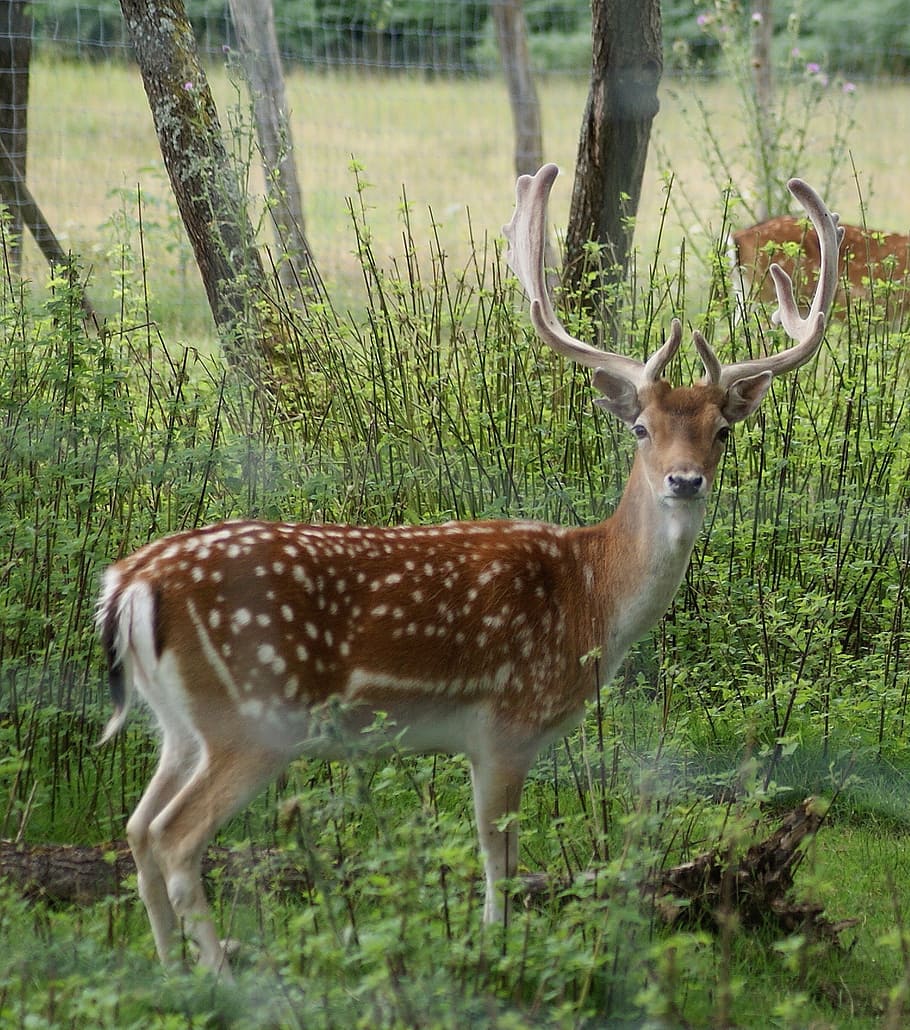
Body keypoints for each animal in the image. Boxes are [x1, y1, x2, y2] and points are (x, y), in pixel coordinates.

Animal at [97, 163, 843, 978]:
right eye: (642, 428)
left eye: (723, 431)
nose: (684, 481)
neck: (590, 598)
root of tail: (130, 584)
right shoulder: (506, 725)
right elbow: (499, 858)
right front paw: (497, 953)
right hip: (253, 717)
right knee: (174, 838)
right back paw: (224, 976)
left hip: (180, 723)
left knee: (137, 829)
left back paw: (171, 971)